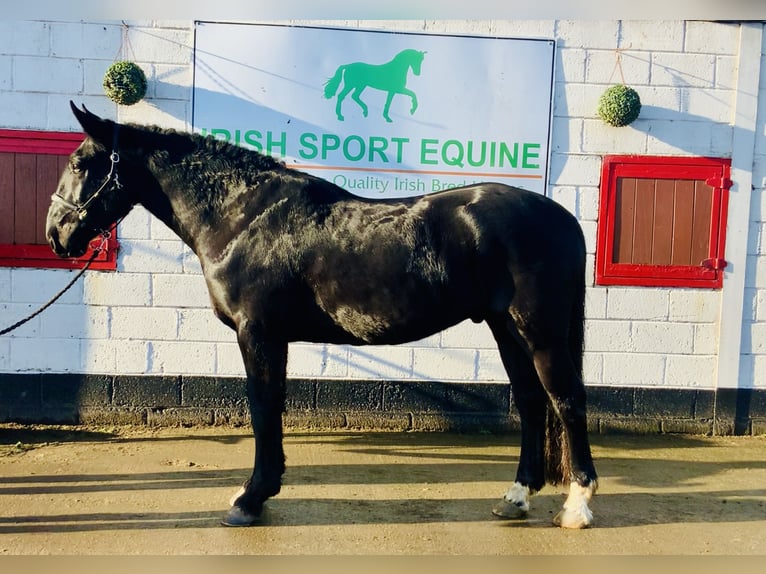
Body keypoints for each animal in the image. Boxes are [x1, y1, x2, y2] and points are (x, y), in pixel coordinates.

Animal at [46, 103, 600, 532]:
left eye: (79, 161)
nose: (56, 234)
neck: (242, 217)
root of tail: (564, 217)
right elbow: (270, 407)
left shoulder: (259, 333)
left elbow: (263, 408)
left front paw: (250, 500)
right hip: (507, 329)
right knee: (531, 403)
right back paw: (516, 498)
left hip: (540, 331)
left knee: (567, 401)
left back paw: (576, 507)